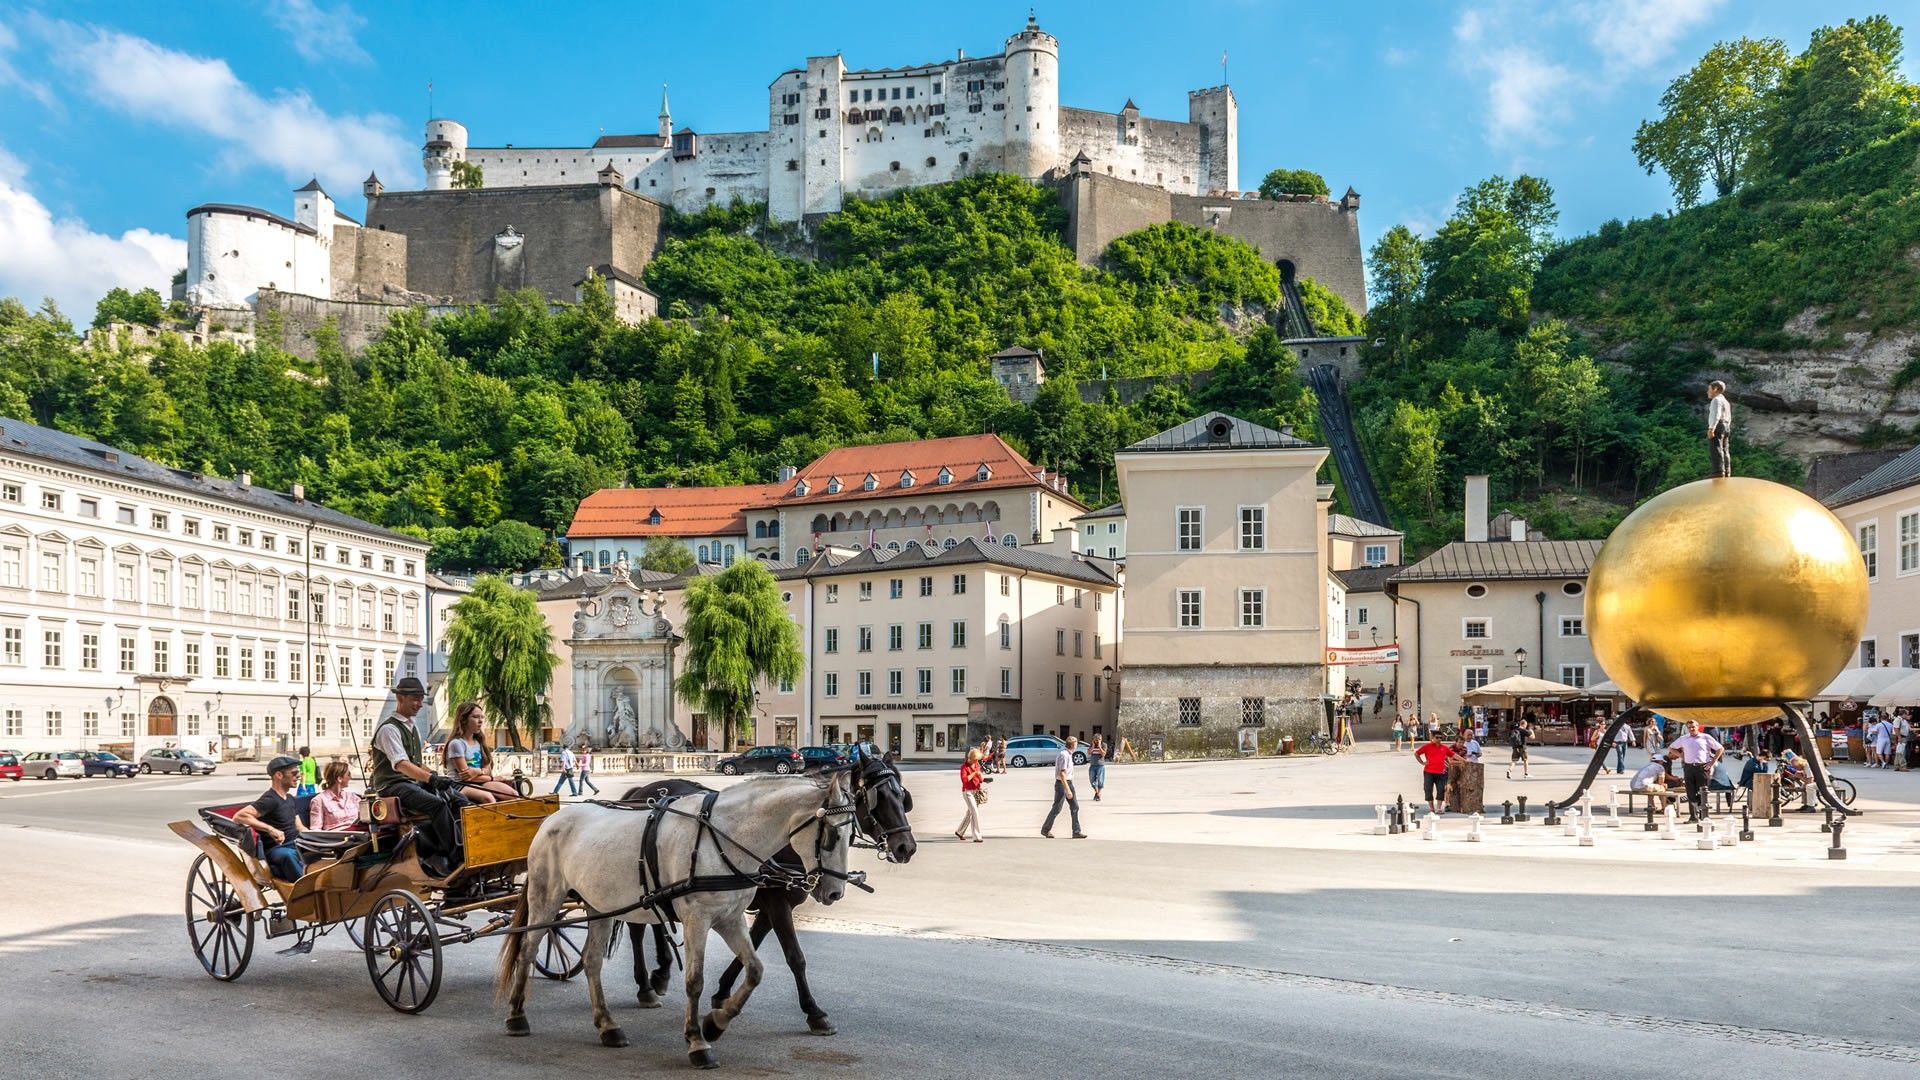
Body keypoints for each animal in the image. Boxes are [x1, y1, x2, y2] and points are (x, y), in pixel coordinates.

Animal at [499, 768, 852, 1060]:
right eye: (832, 836)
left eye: (852, 835)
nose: (835, 892)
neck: (723, 838)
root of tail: (552, 820)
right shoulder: (699, 920)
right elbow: (695, 980)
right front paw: (698, 1040)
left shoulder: (730, 918)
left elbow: (755, 970)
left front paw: (715, 1023)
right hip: (547, 898)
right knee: (528, 949)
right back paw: (517, 1015)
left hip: (600, 905)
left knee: (592, 961)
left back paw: (608, 1025)